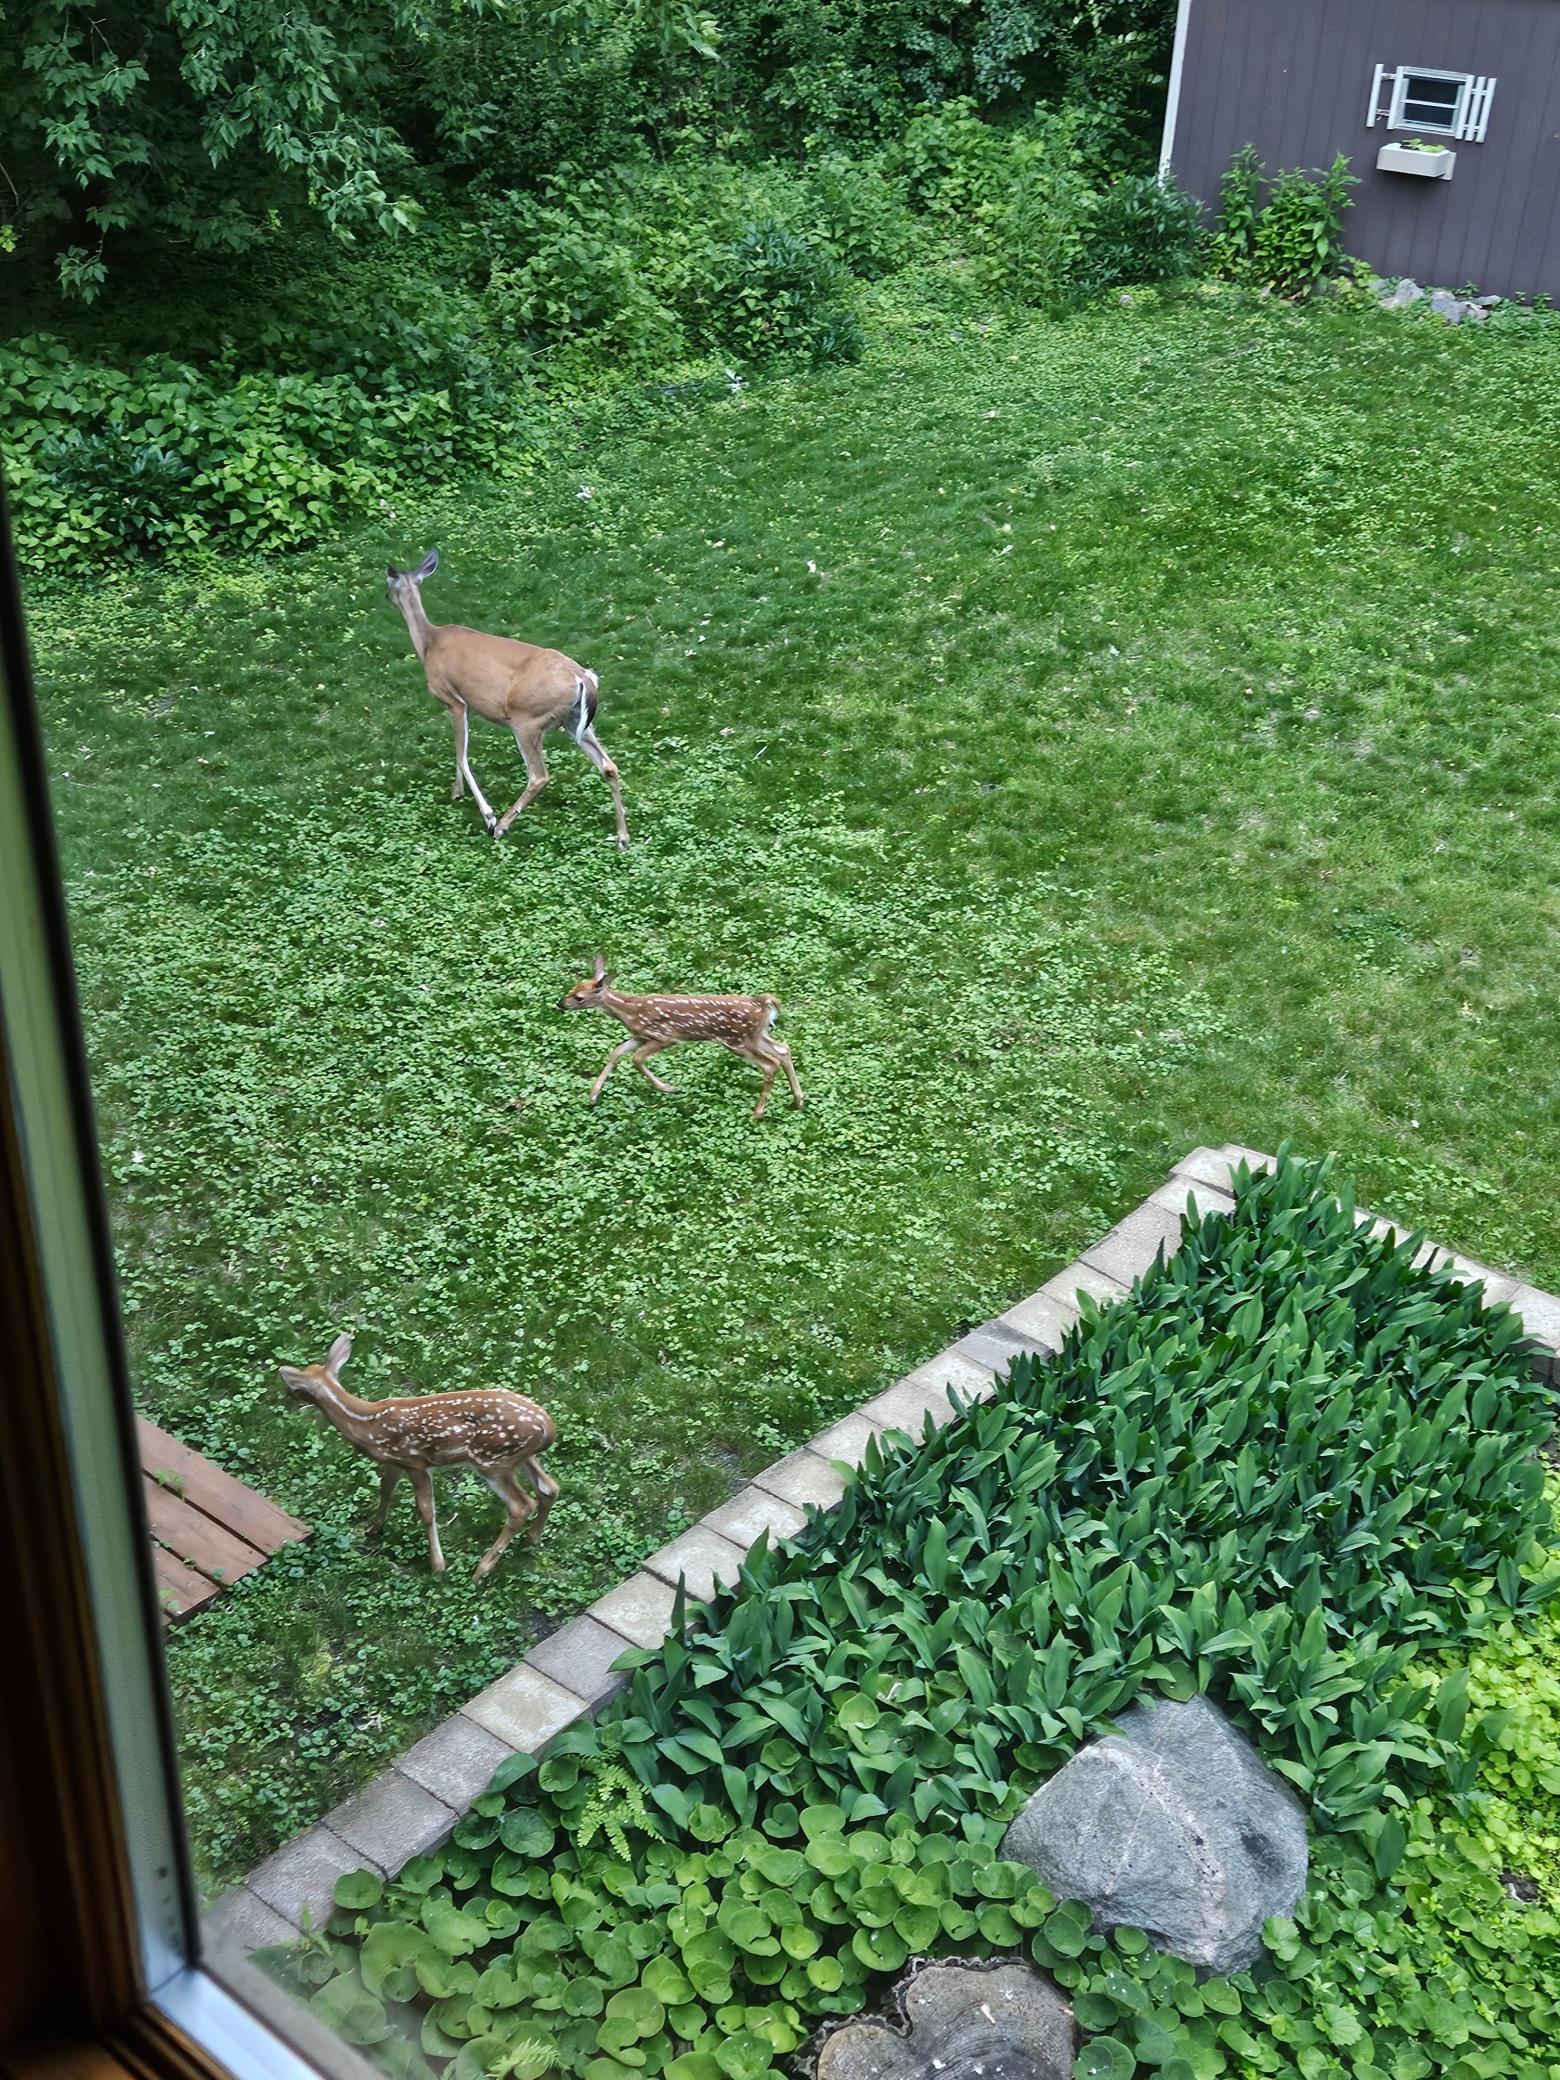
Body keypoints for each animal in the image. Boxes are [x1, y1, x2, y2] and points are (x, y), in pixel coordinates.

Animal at [277, 1333, 559, 1583]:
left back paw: (481, 1571)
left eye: (295, 1386)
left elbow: (426, 1511)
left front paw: (438, 1566)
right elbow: (385, 1489)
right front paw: (373, 1528)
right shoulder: (394, 1462)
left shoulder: (415, 1462)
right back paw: (531, 1538)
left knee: (521, 1505)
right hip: (519, 1457)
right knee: (549, 1488)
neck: (367, 1423)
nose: (285, 1396)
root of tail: (549, 1427)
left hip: (491, 1459)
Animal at [384, 549, 629, 849]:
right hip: (574, 722)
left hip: (527, 720)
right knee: (609, 766)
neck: (429, 643)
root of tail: (583, 678)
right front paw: (457, 792)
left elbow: (461, 755)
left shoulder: (454, 700)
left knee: (539, 776)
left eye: (388, 583)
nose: (386, 596)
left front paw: (488, 815)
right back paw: (622, 837)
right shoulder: (467, 706)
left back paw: (501, 826)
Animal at [558, 957, 806, 1119]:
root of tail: (762, 1003)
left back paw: (757, 1113)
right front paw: (592, 1096)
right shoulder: (640, 1036)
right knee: (783, 1049)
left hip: (737, 1040)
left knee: (770, 1064)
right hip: (756, 1035)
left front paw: (668, 1088)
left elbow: (637, 1059)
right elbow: (617, 1052)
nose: (560, 1003)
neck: (630, 1011)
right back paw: (798, 1101)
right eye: (573, 988)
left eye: (579, 997)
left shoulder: (665, 1036)